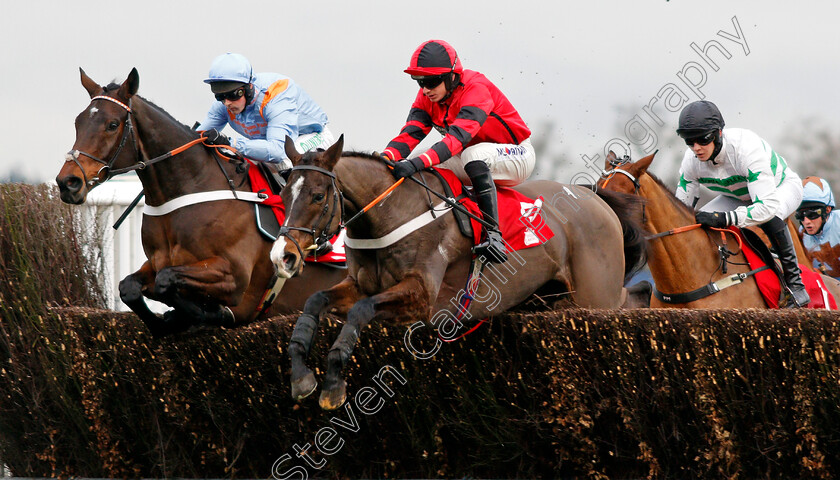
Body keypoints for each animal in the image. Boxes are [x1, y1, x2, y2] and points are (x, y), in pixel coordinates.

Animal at [55, 68, 344, 338]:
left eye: (112, 124)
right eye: (78, 122)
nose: (68, 182)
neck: (191, 188)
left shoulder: (234, 276)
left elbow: (167, 281)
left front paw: (200, 315)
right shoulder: (156, 263)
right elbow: (130, 287)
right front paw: (170, 320)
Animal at [270, 135, 648, 408]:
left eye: (318, 196)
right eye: (284, 194)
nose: (283, 256)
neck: (389, 213)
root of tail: (594, 198)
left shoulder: (423, 298)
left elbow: (361, 312)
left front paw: (333, 385)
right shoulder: (358, 284)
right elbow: (315, 301)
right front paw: (302, 376)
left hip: (595, 296)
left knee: (633, 299)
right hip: (549, 298)